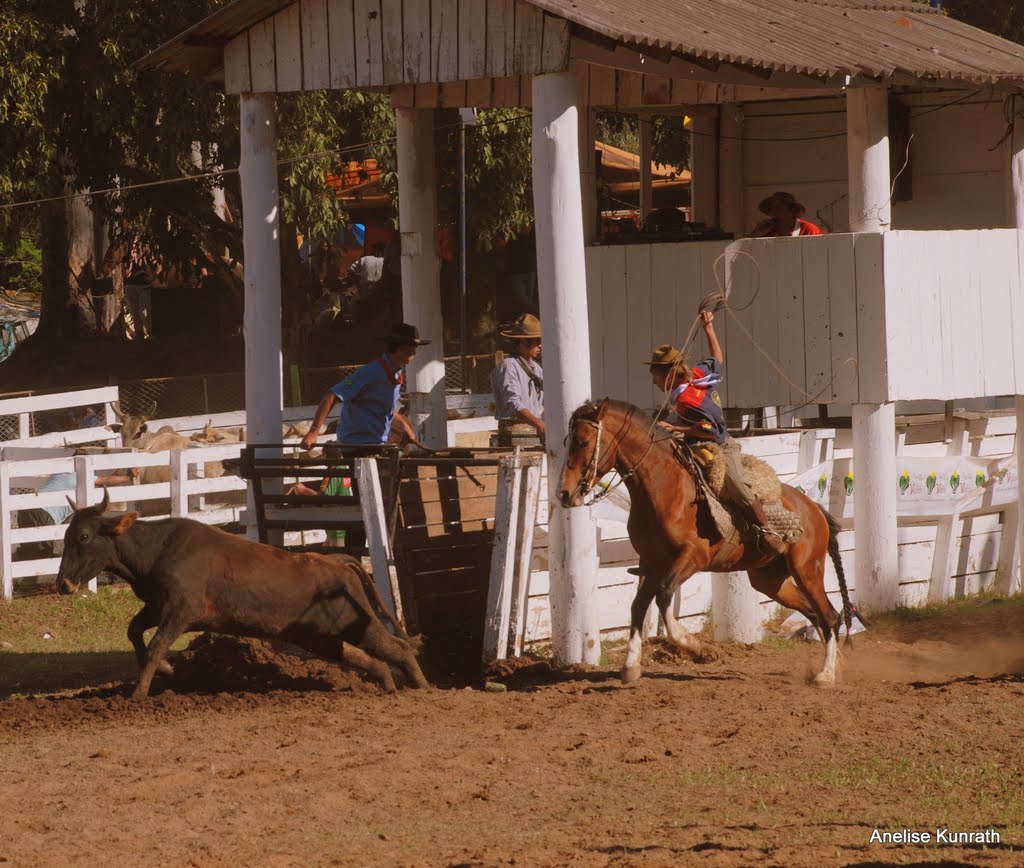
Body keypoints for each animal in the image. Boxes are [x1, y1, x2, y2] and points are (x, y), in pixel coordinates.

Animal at [54, 491, 430, 696]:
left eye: (83, 537)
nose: (63, 584)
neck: (156, 548)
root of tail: (336, 562)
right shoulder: (157, 606)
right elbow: (134, 632)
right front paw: (167, 670)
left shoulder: (180, 610)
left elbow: (156, 645)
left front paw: (140, 691)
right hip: (320, 636)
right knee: (367, 657)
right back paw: (386, 683)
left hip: (355, 623)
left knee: (396, 649)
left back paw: (424, 689)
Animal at [557, 397, 851, 687]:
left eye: (583, 442)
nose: (564, 493)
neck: (666, 487)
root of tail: (813, 508)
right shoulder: (651, 563)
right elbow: (638, 606)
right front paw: (630, 665)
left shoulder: (692, 557)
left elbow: (664, 595)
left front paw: (700, 650)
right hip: (770, 581)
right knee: (815, 614)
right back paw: (831, 667)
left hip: (807, 570)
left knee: (830, 616)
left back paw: (826, 675)